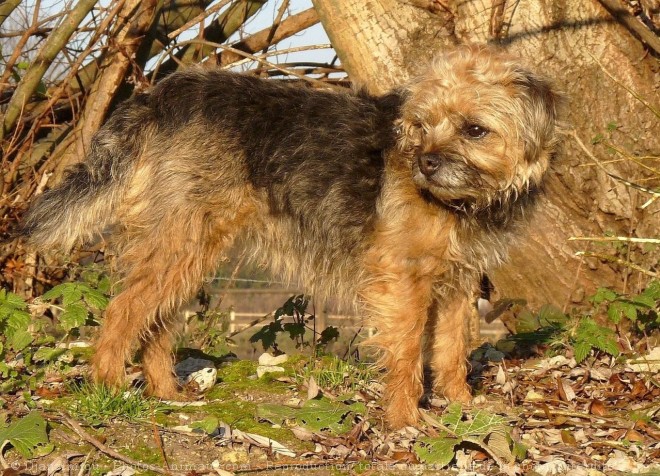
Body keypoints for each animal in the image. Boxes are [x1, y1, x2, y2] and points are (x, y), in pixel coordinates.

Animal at [20, 47, 560, 428]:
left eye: (475, 130)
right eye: (422, 126)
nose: (425, 163)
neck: (465, 202)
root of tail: (158, 97)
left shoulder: (459, 281)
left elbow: (451, 349)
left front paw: (463, 405)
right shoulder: (403, 282)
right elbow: (407, 352)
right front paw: (405, 419)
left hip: (187, 248)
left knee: (155, 319)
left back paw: (166, 393)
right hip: (181, 244)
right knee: (123, 310)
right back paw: (108, 386)